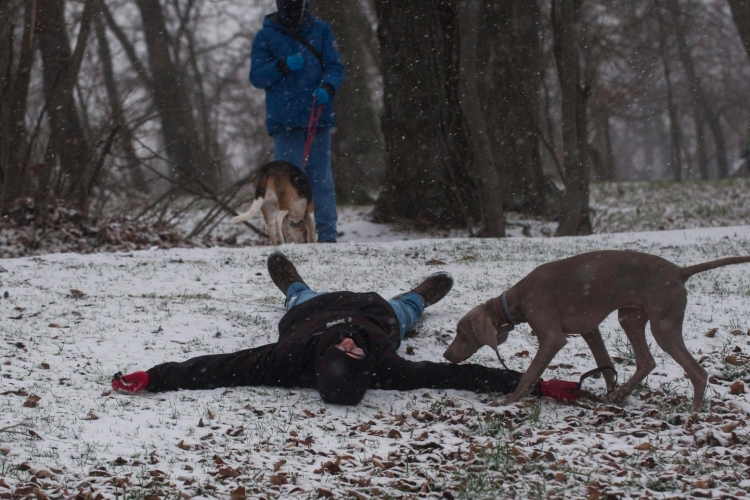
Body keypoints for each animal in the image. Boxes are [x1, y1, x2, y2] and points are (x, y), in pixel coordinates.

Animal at [446, 250, 750, 410]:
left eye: (461, 333)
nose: (447, 356)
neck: (516, 299)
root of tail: (679, 271)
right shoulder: (590, 330)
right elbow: (605, 366)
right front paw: (605, 392)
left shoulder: (553, 338)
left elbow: (530, 373)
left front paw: (508, 400)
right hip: (630, 317)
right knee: (646, 361)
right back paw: (618, 395)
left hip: (663, 325)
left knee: (697, 372)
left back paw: (694, 412)